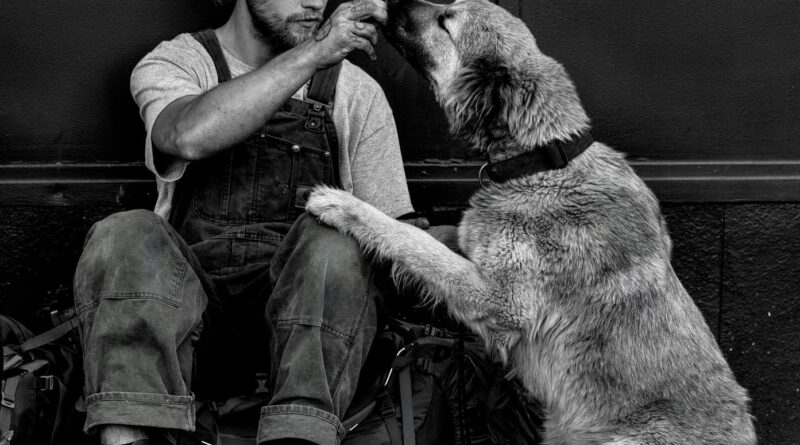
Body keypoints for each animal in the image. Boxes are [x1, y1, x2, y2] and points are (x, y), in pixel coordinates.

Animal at [306, 1, 756, 442]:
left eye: (446, 22)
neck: (543, 161)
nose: (390, 3)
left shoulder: (499, 301)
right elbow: (429, 236)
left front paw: (343, 204)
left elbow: (413, 242)